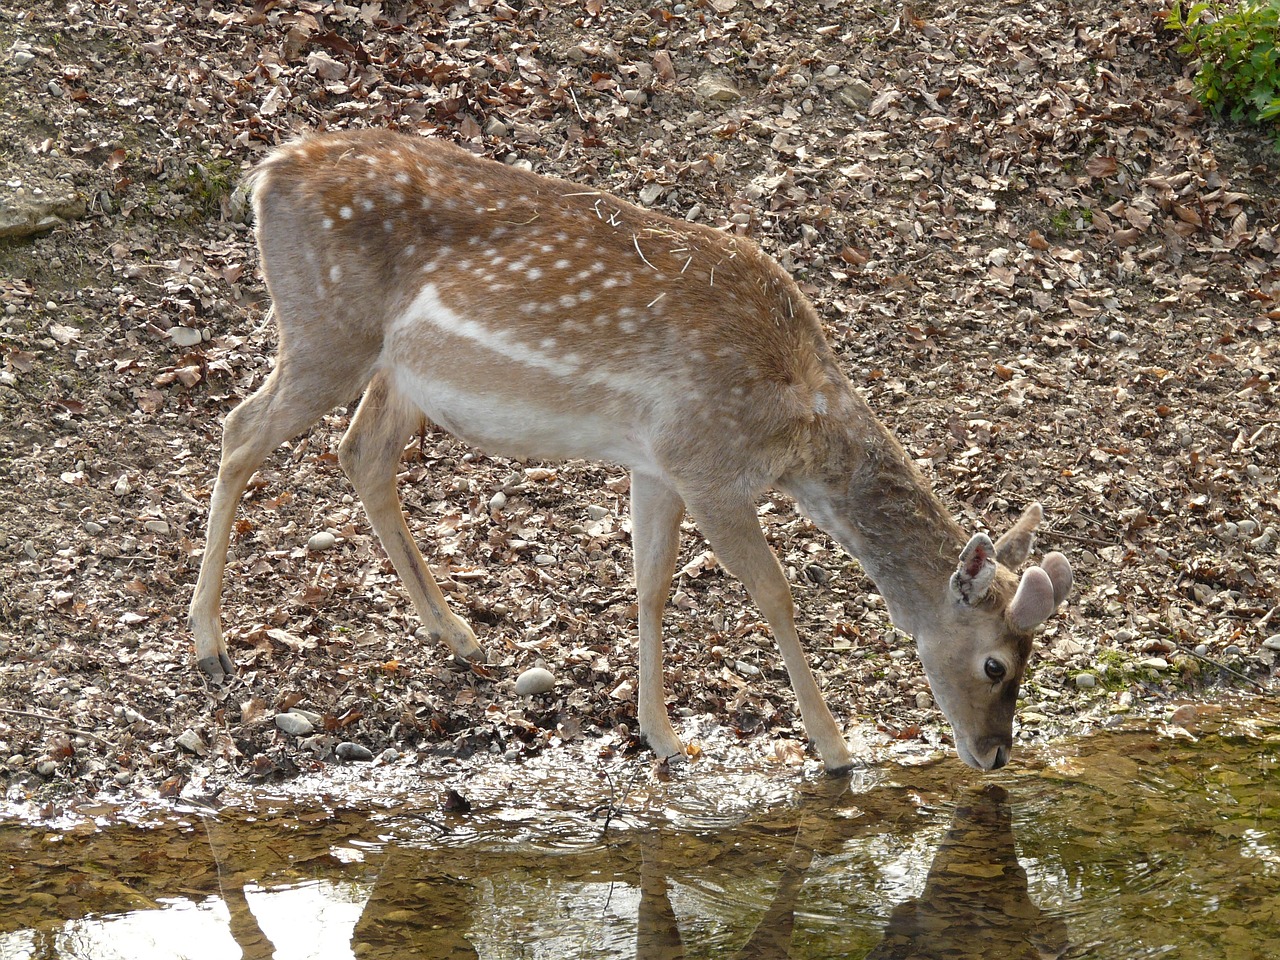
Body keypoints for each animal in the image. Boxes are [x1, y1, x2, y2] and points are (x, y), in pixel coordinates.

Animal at [186, 129, 1070, 773]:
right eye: (997, 665)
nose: (994, 755)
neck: (795, 417)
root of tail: (267, 171)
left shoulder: (658, 462)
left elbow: (650, 586)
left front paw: (663, 734)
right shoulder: (707, 464)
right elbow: (775, 594)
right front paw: (833, 749)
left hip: (394, 372)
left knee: (359, 452)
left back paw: (462, 637)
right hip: (325, 326)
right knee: (239, 429)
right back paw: (208, 646)